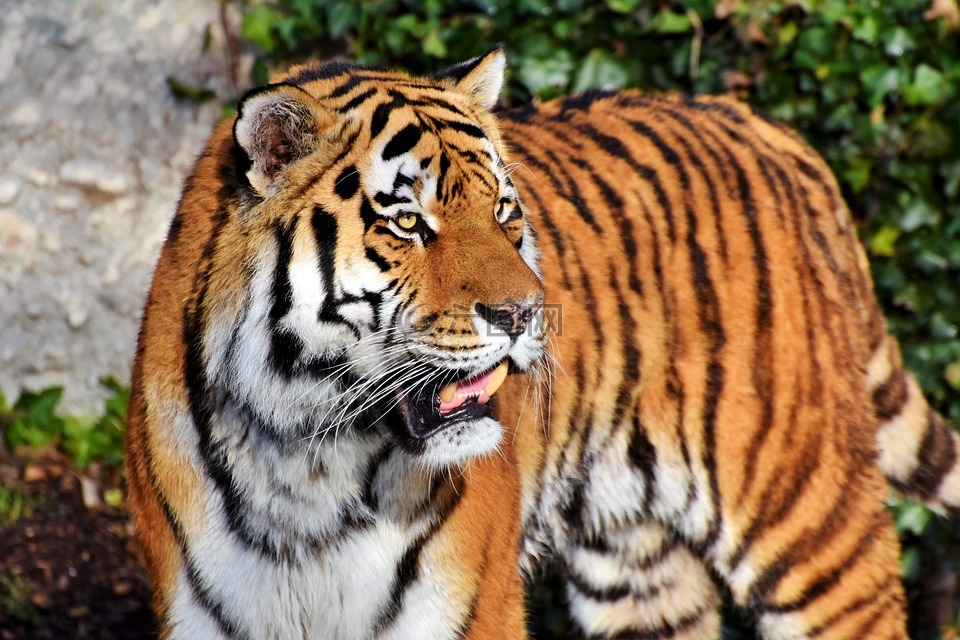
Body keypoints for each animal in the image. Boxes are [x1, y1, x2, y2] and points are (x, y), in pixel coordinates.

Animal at [124, 47, 960, 639]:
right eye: (406, 222)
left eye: (502, 211)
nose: (526, 314)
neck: (308, 460)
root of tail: (776, 133)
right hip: (634, 564)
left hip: (809, 520)